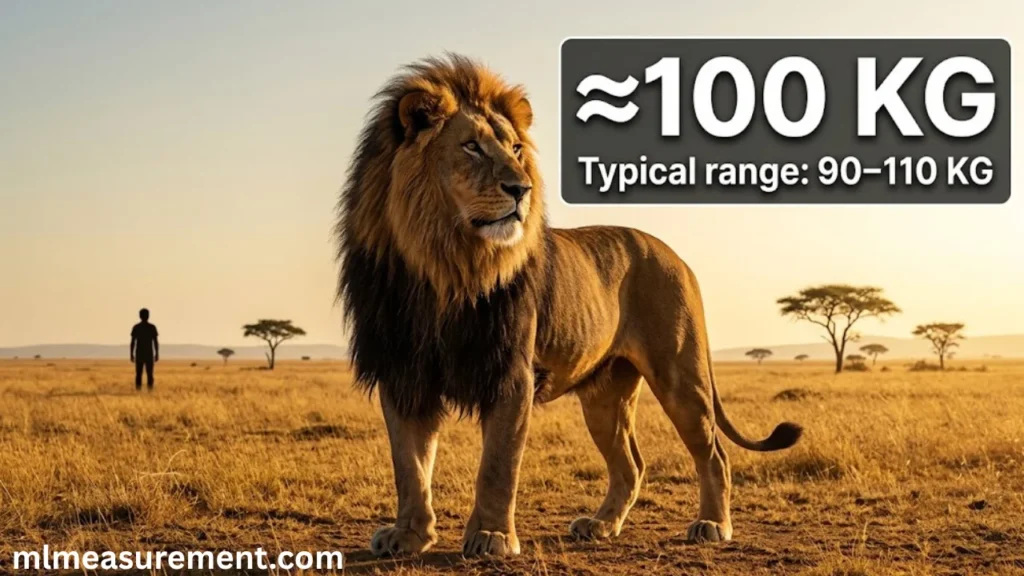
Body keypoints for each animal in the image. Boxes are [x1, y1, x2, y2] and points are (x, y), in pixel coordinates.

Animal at [335, 54, 803, 558]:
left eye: (515, 149)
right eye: (471, 147)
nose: (520, 189)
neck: (444, 265)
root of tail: (676, 256)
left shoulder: (512, 374)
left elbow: (497, 465)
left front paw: (492, 536)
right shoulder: (403, 371)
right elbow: (410, 466)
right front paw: (408, 534)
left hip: (682, 376)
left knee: (713, 453)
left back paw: (712, 524)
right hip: (605, 395)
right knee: (630, 464)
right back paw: (601, 525)